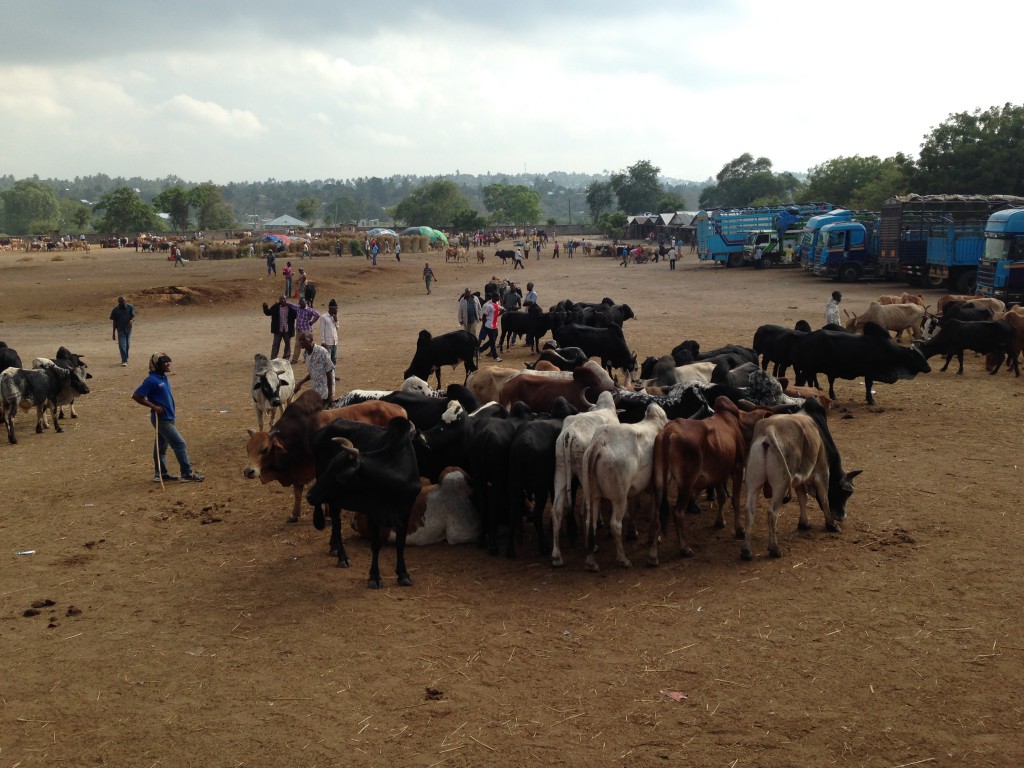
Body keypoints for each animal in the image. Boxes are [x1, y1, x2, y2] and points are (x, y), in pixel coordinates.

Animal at [243, 391, 407, 524]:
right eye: (248, 449)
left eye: (265, 450)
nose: (248, 471)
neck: (300, 436)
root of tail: (399, 409)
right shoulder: (299, 471)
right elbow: (297, 492)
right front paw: (294, 515)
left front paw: (328, 515)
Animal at [581, 403, 667, 573]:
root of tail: (600, 441)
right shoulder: (655, 486)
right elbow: (654, 512)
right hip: (619, 497)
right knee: (615, 524)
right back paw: (623, 559)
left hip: (592, 496)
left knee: (590, 522)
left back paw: (590, 561)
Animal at [786, 321, 933, 405]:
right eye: (917, 357)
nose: (929, 368)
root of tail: (806, 338)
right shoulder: (870, 373)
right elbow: (868, 386)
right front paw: (870, 400)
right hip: (808, 369)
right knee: (802, 382)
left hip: (810, 370)